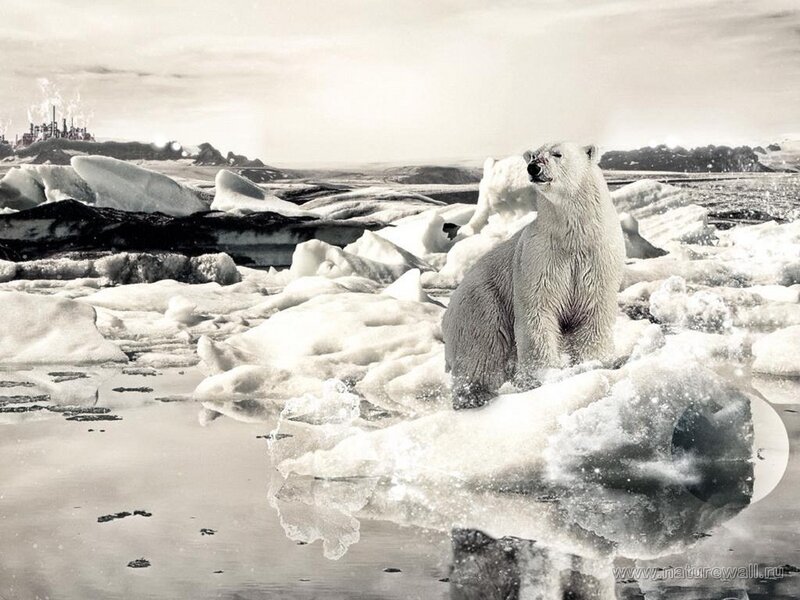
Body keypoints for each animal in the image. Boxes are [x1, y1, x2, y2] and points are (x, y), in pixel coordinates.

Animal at [442, 142, 625, 409]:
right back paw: (475, 396)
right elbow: (538, 311)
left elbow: (592, 314)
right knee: (481, 351)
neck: (574, 238)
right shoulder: (538, 259)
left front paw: (594, 363)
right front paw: (543, 377)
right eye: (534, 155)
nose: (534, 167)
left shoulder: (598, 260)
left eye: (557, 154)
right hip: (483, 304)